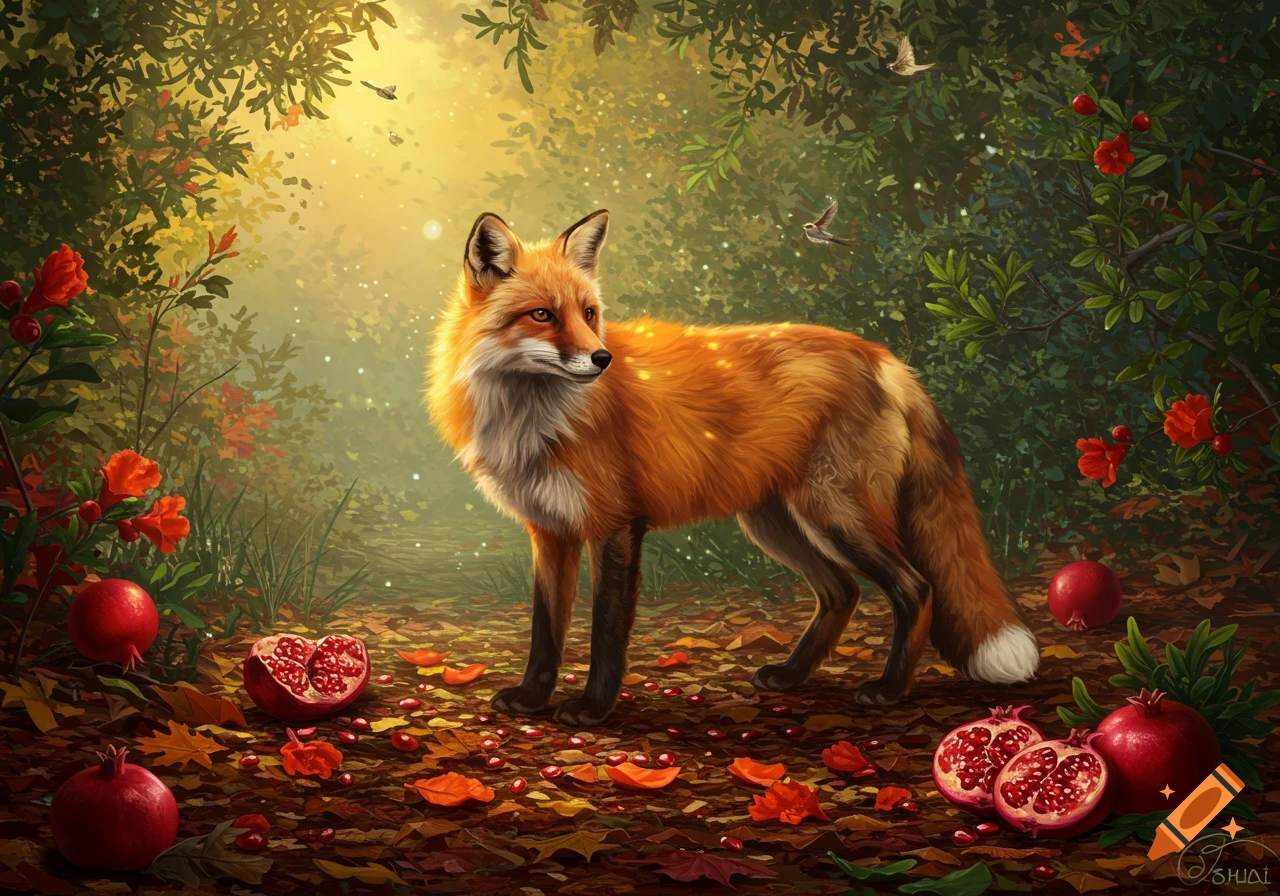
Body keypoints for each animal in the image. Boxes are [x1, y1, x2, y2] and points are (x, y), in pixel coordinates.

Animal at [427, 209, 1039, 726]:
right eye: (542, 315)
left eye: (589, 314)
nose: (602, 359)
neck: (534, 418)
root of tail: (884, 356)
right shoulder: (550, 531)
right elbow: (545, 632)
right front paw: (532, 699)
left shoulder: (614, 525)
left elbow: (605, 633)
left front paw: (593, 710)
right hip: (776, 523)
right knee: (842, 591)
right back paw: (792, 675)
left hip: (836, 514)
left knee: (916, 588)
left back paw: (889, 690)